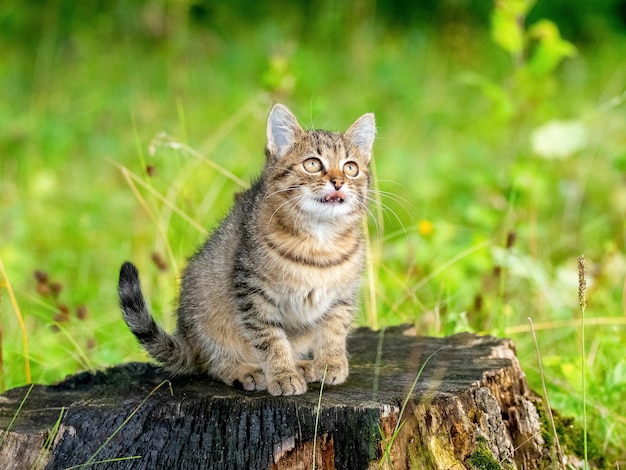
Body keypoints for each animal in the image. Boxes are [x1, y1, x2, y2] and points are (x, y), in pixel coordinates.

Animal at [118, 103, 376, 396]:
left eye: (351, 168)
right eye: (312, 164)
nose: (338, 181)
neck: (321, 240)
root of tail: (187, 339)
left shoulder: (342, 296)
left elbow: (334, 330)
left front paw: (331, 363)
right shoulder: (253, 294)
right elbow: (270, 340)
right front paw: (282, 374)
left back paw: (302, 364)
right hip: (206, 319)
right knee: (212, 364)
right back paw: (246, 370)